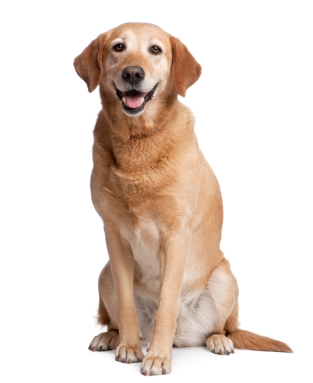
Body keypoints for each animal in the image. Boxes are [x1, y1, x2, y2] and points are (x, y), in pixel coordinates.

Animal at [73, 22, 290, 376]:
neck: (139, 142)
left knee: (224, 328)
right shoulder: (114, 236)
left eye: (155, 49)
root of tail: (185, 337)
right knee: (116, 316)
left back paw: (218, 341)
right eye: (118, 47)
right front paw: (130, 347)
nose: (133, 73)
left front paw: (158, 358)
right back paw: (111, 337)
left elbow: (167, 305)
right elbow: (126, 304)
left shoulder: (175, 236)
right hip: (104, 274)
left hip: (225, 277)